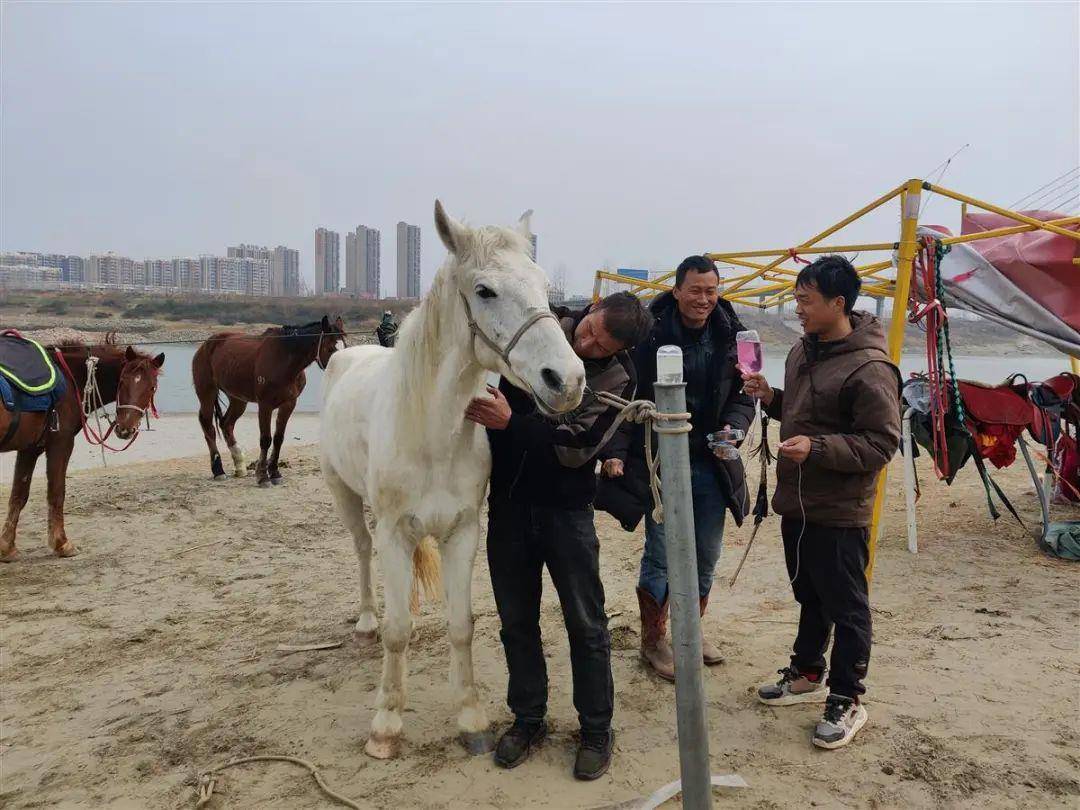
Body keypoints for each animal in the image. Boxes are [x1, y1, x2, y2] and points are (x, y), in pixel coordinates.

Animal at [0, 337, 164, 561]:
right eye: (122, 381)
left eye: (152, 387)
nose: (125, 429)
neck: (70, 381)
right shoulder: (61, 443)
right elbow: (56, 492)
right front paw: (62, 543)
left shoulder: (30, 448)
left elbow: (18, 495)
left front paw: (7, 547)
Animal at [192, 315, 346, 487]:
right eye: (331, 348)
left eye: (346, 345)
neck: (284, 360)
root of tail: (206, 344)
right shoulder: (265, 405)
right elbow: (266, 439)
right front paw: (262, 476)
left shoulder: (288, 404)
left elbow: (278, 438)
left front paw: (275, 473)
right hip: (207, 393)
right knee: (208, 427)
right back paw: (218, 470)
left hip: (238, 399)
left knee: (227, 424)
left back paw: (239, 465)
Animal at [321, 201, 586, 760]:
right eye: (484, 290)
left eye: (541, 283)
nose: (567, 381)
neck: (430, 430)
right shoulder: (395, 533)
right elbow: (399, 631)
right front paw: (386, 725)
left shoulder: (463, 531)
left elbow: (461, 625)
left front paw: (471, 718)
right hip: (344, 495)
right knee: (361, 551)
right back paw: (366, 621)